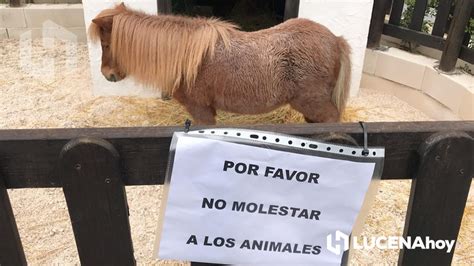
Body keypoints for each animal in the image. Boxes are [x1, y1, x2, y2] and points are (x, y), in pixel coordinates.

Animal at [89, 3, 350, 124]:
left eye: (106, 44)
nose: (107, 74)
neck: (186, 58)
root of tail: (335, 40)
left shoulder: (201, 110)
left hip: (314, 104)